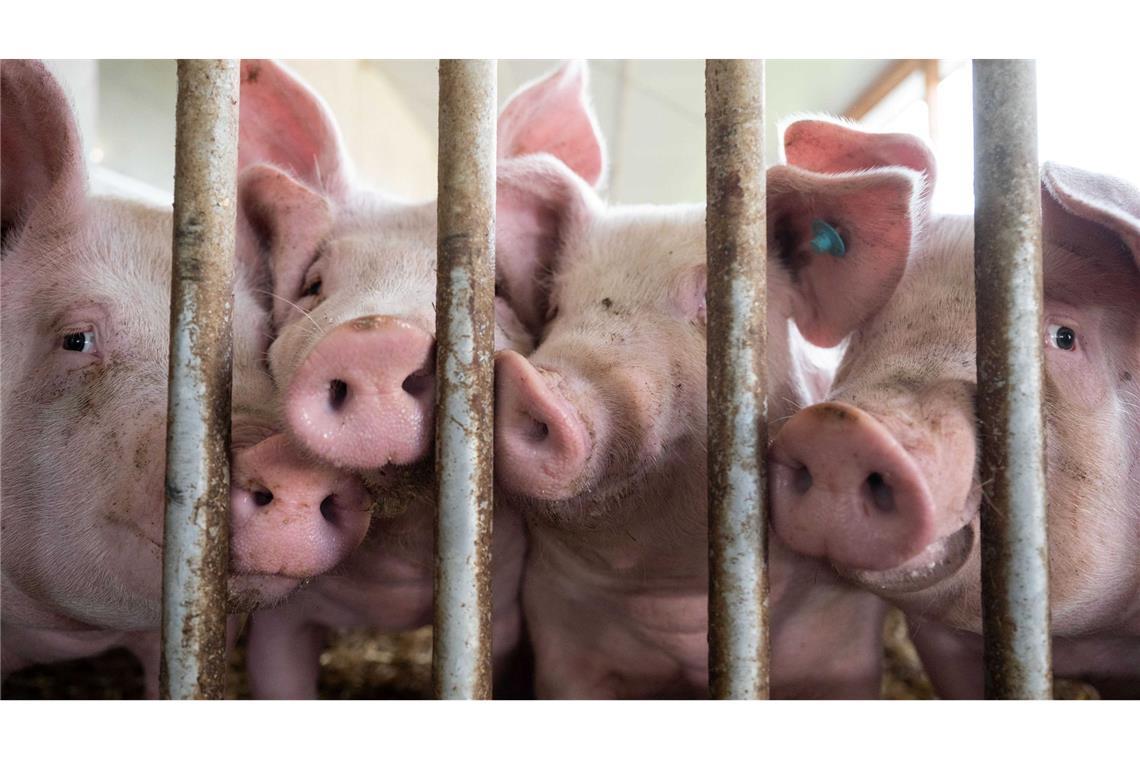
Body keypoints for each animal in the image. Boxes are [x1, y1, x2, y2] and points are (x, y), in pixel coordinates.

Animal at [490, 111, 925, 697]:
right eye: (557, 306)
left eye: (712, 299)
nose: (528, 376)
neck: (676, 591)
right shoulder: (562, 638)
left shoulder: (841, 641)